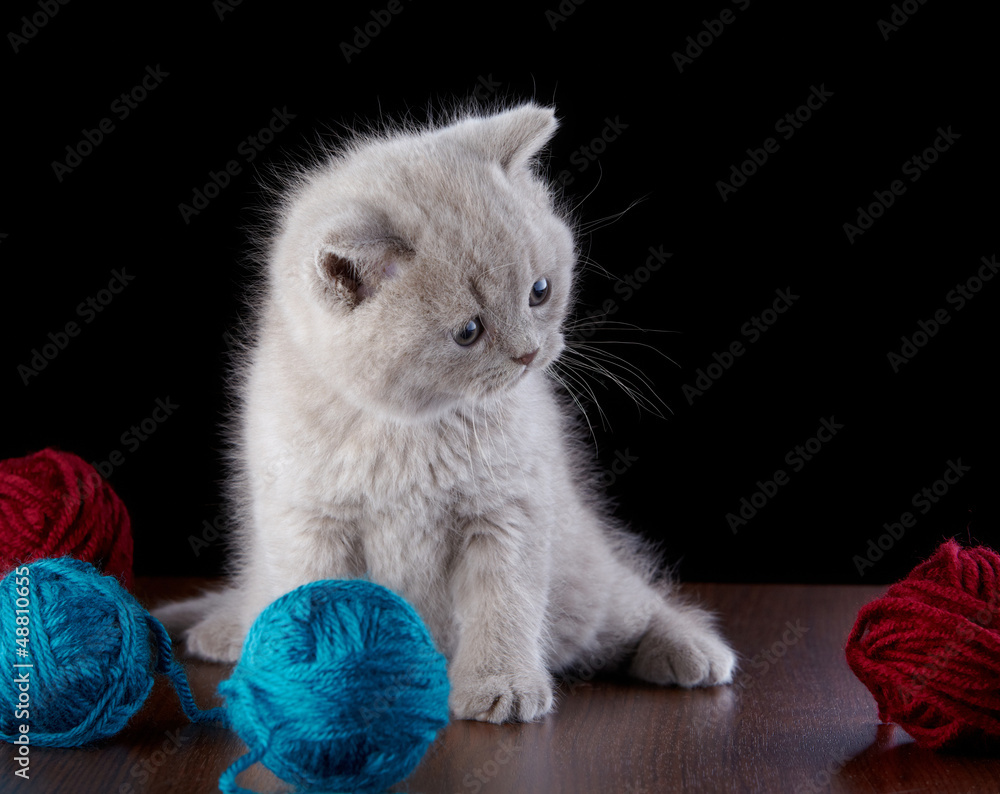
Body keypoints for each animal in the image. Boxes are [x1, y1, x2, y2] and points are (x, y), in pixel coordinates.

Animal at [154, 102, 736, 720]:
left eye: (540, 290)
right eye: (468, 332)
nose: (529, 353)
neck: (408, 429)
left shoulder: (508, 510)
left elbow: (503, 603)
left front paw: (502, 687)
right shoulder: (308, 522)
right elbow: (316, 602)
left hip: (584, 577)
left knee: (628, 604)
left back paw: (692, 650)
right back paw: (228, 633)